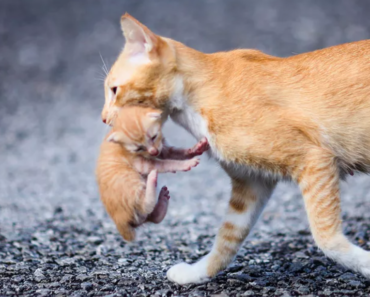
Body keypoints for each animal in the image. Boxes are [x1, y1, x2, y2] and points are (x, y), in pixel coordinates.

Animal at [95, 106, 210, 240]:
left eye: (154, 137)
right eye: (139, 148)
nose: (154, 152)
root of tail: (120, 222)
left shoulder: (162, 148)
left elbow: (176, 152)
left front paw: (196, 149)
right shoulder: (142, 163)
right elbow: (166, 163)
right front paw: (185, 164)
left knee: (152, 217)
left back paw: (162, 202)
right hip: (130, 180)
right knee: (145, 206)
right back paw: (152, 179)